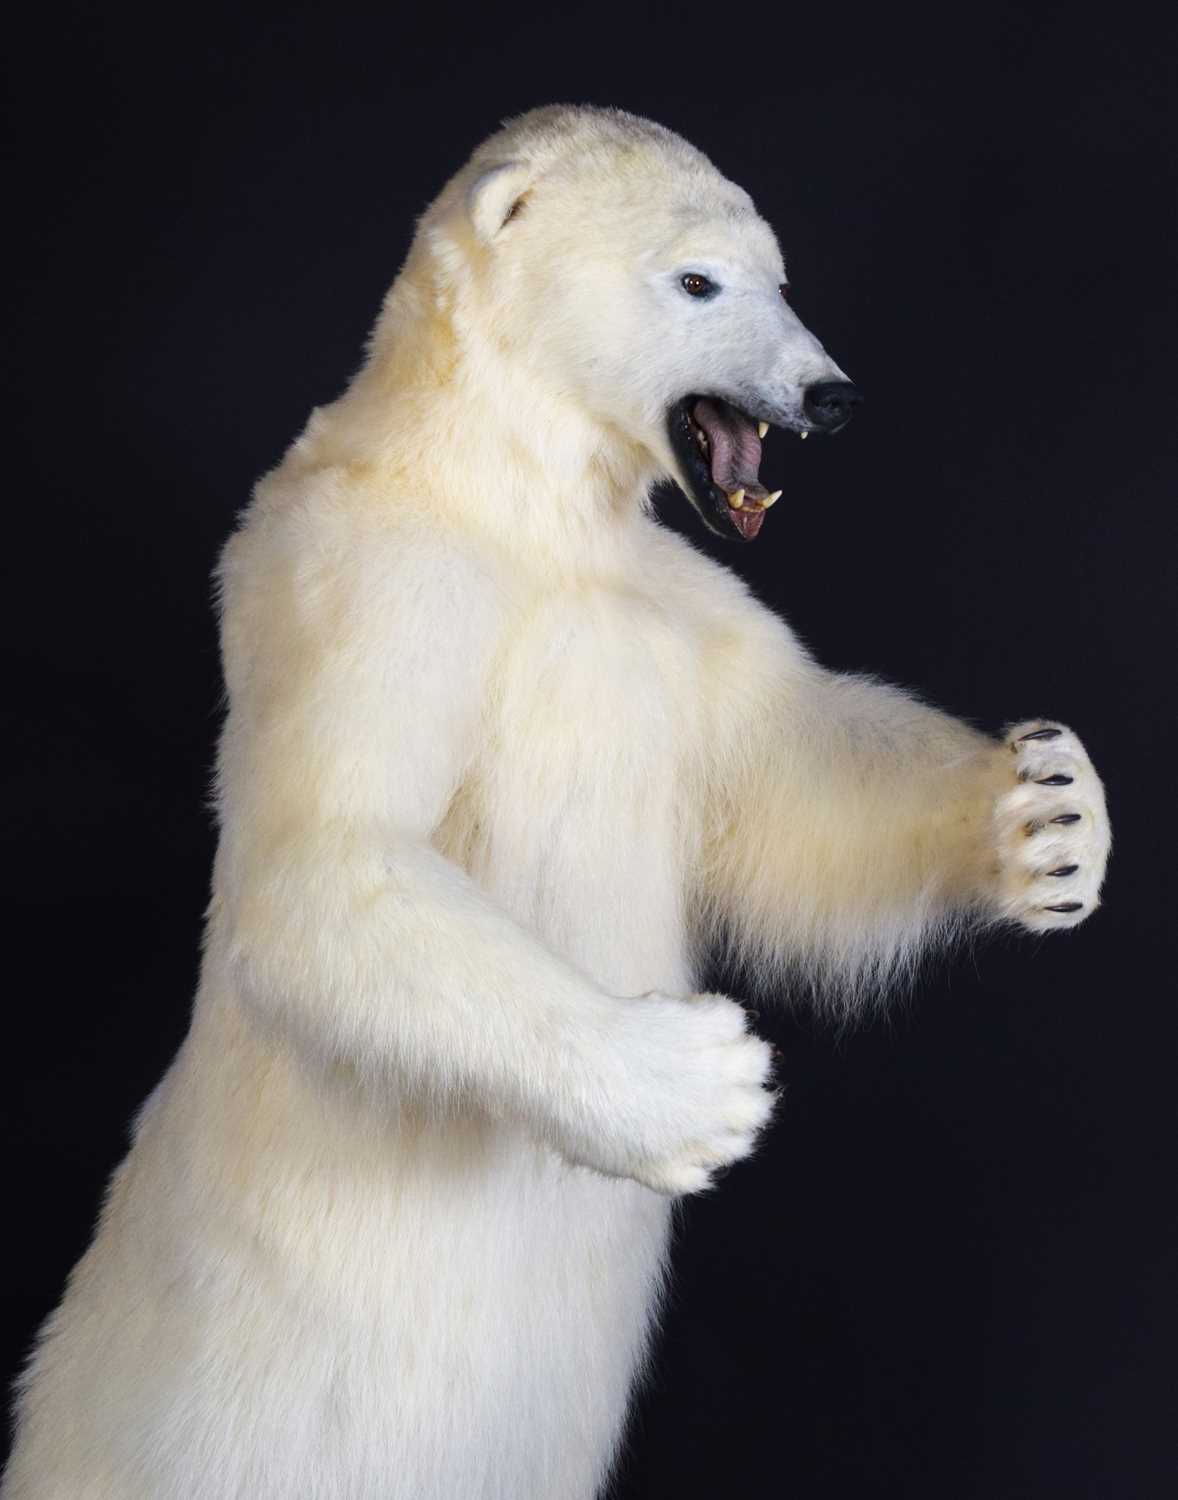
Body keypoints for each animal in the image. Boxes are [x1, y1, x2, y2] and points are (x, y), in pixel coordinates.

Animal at [4, 105, 1110, 1500]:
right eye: (697, 281)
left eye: (780, 278)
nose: (830, 396)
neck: (490, 486)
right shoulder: (375, 582)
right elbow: (329, 852)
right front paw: (691, 1083)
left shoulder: (673, 609)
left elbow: (789, 795)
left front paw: (1046, 813)